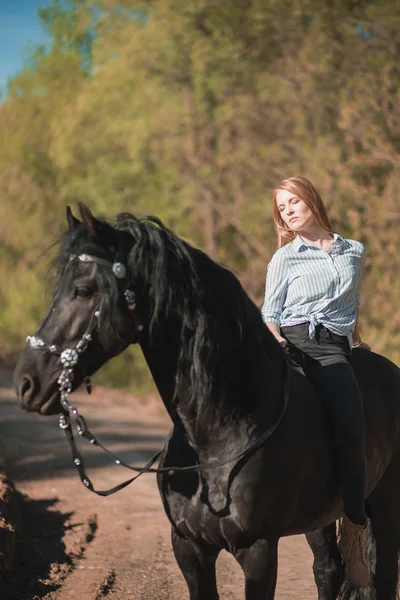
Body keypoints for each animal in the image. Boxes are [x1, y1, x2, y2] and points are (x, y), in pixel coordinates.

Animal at [13, 204, 400, 596]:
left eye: (82, 289)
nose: (25, 383)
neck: (225, 429)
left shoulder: (258, 551)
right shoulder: (189, 548)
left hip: (383, 508)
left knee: (381, 575)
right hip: (319, 518)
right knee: (327, 569)